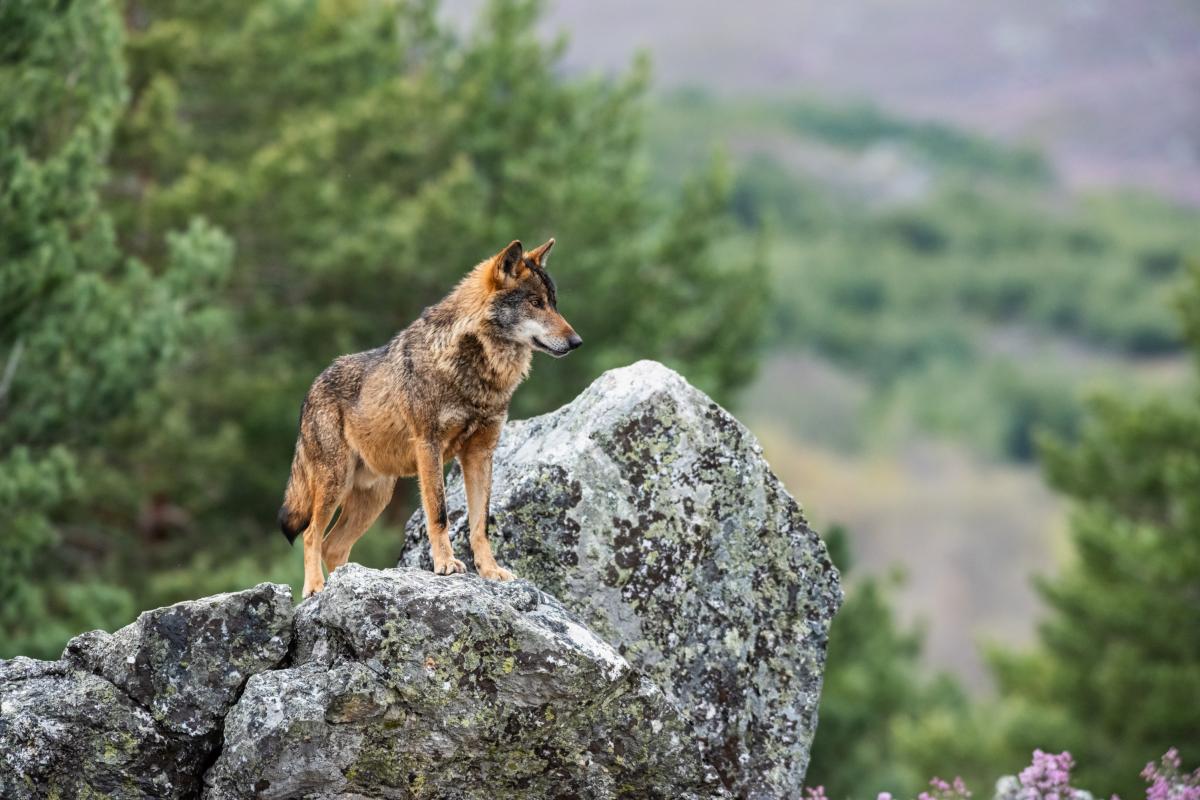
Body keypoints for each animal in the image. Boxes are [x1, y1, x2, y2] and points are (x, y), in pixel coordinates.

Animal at [278, 238, 581, 597]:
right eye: (536, 303)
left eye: (554, 303)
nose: (577, 341)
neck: (477, 372)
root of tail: (311, 389)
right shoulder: (429, 446)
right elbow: (439, 514)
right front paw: (446, 565)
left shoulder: (480, 454)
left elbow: (481, 524)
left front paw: (490, 571)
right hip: (335, 484)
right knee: (312, 534)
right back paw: (316, 588)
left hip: (376, 497)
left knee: (333, 545)